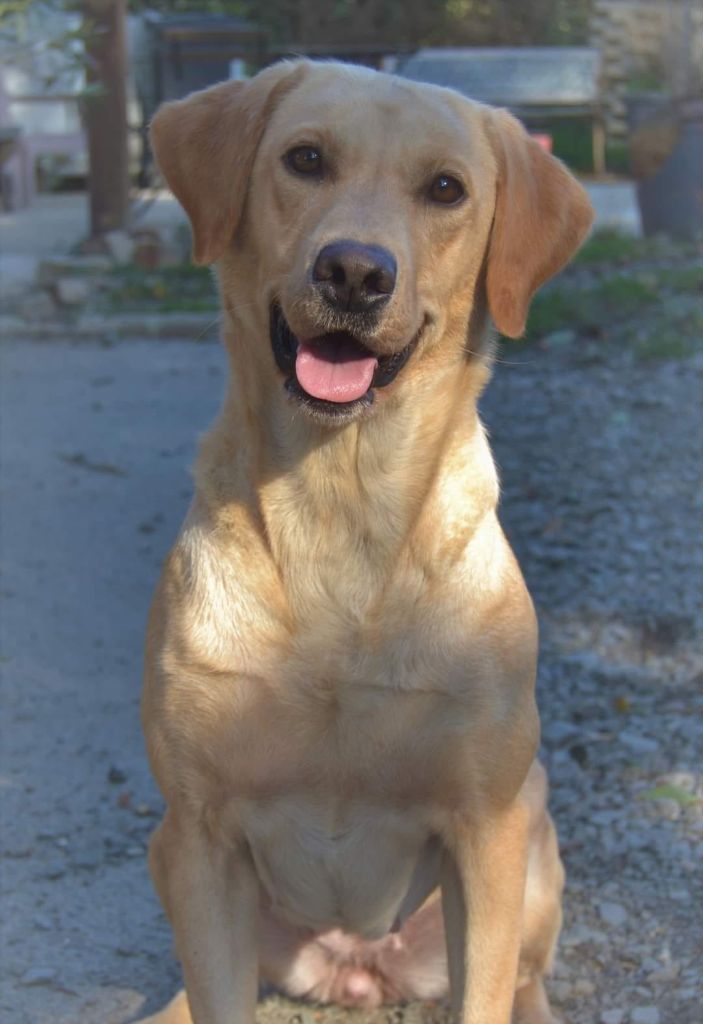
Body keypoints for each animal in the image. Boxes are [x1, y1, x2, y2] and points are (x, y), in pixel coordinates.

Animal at [140, 58, 597, 1024]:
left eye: (445, 189)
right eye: (305, 158)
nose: (353, 271)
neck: (339, 511)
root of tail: (359, 967)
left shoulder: (485, 834)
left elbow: (485, 993)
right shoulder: (198, 835)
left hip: (534, 834)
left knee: (524, 979)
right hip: (180, 868)